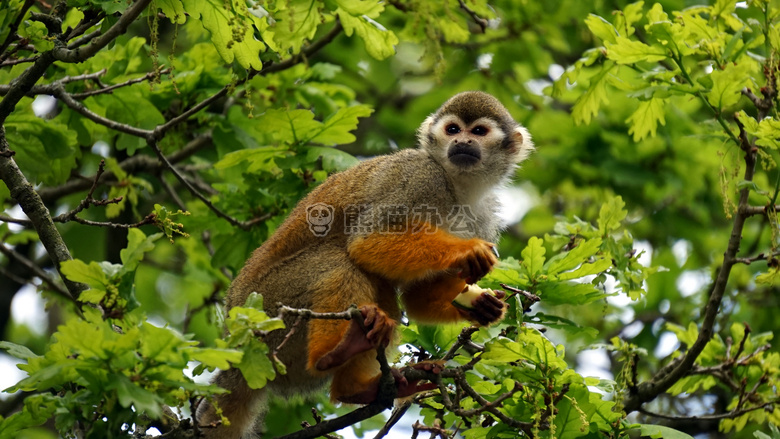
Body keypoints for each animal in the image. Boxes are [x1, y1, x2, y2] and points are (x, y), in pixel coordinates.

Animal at [198, 91, 532, 438]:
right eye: (453, 129)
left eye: (478, 132)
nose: (462, 142)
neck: (459, 186)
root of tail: (236, 340)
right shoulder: (419, 177)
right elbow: (366, 241)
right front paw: (466, 252)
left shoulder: (485, 217)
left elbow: (416, 297)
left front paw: (481, 306)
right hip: (268, 310)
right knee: (340, 260)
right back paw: (333, 353)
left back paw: (356, 386)